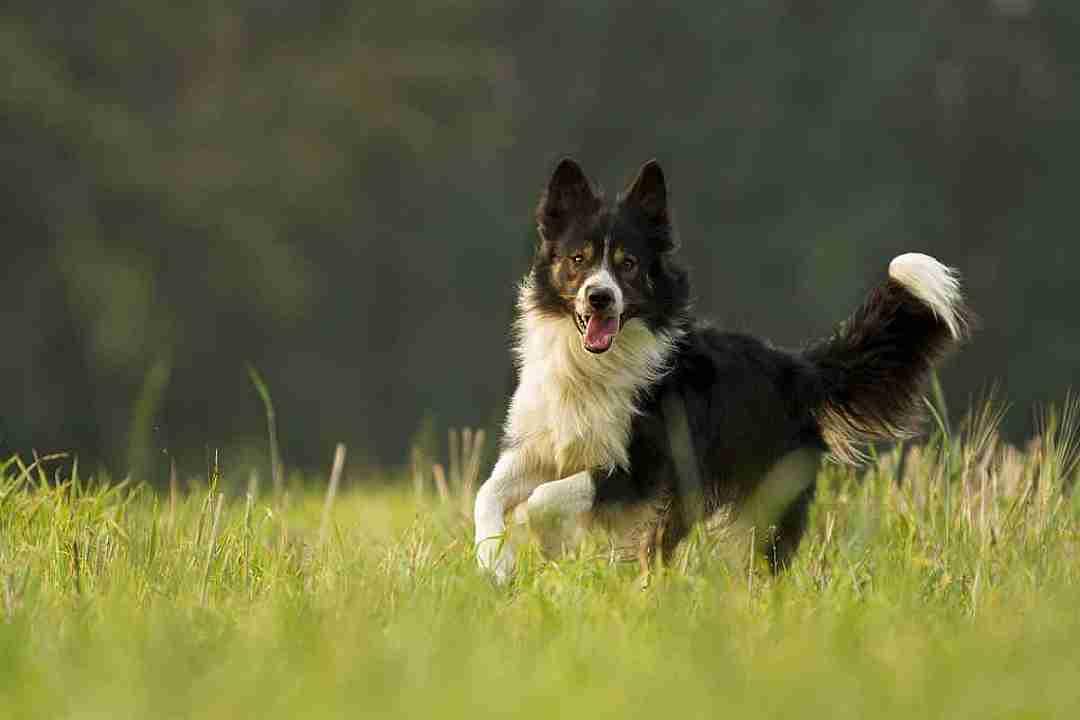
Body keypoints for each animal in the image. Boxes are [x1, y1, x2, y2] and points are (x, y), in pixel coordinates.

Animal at [475, 158, 972, 587]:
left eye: (628, 264)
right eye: (578, 259)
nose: (600, 297)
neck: (592, 365)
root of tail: (799, 367)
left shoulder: (643, 467)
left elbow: (543, 500)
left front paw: (548, 543)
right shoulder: (542, 445)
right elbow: (488, 492)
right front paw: (495, 563)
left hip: (759, 500)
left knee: (758, 559)